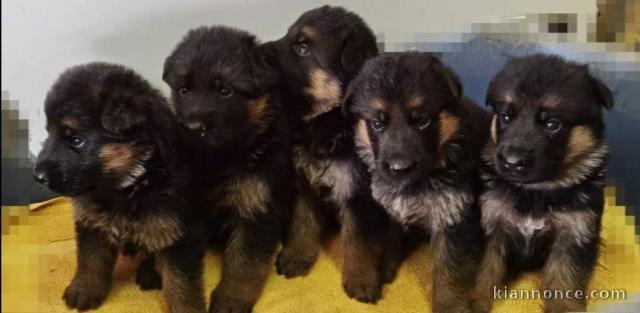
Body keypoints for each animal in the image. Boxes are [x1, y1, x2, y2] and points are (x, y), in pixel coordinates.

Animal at [32, 62, 205, 310]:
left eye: (76, 140)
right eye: (49, 134)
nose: (38, 176)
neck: (127, 187)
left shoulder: (179, 232)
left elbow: (181, 286)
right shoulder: (92, 220)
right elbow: (90, 259)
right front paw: (84, 289)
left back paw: (150, 271)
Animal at [165, 26, 296, 312]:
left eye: (225, 91)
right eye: (184, 90)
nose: (191, 127)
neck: (219, 159)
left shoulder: (255, 208)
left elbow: (245, 264)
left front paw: (230, 300)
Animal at [262, 5, 404, 302]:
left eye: (303, 47)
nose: (257, 52)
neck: (326, 121)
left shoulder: (358, 193)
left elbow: (360, 242)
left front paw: (360, 280)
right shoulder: (303, 183)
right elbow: (302, 223)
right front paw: (296, 256)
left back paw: (385, 267)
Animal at [344, 52, 490, 310]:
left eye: (422, 121)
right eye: (377, 123)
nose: (399, 168)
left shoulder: (455, 217)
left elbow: (450, 273)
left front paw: (449, 307)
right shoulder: (389, 206)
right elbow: (388, 239)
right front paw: (382, 268)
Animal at [472, 54, 612, 312]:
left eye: (552, 124)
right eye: (506, 117)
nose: (511, 162)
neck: (537, 191)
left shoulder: (573, 235)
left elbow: (565, 284)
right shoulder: (491, 225)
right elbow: (482, 274)